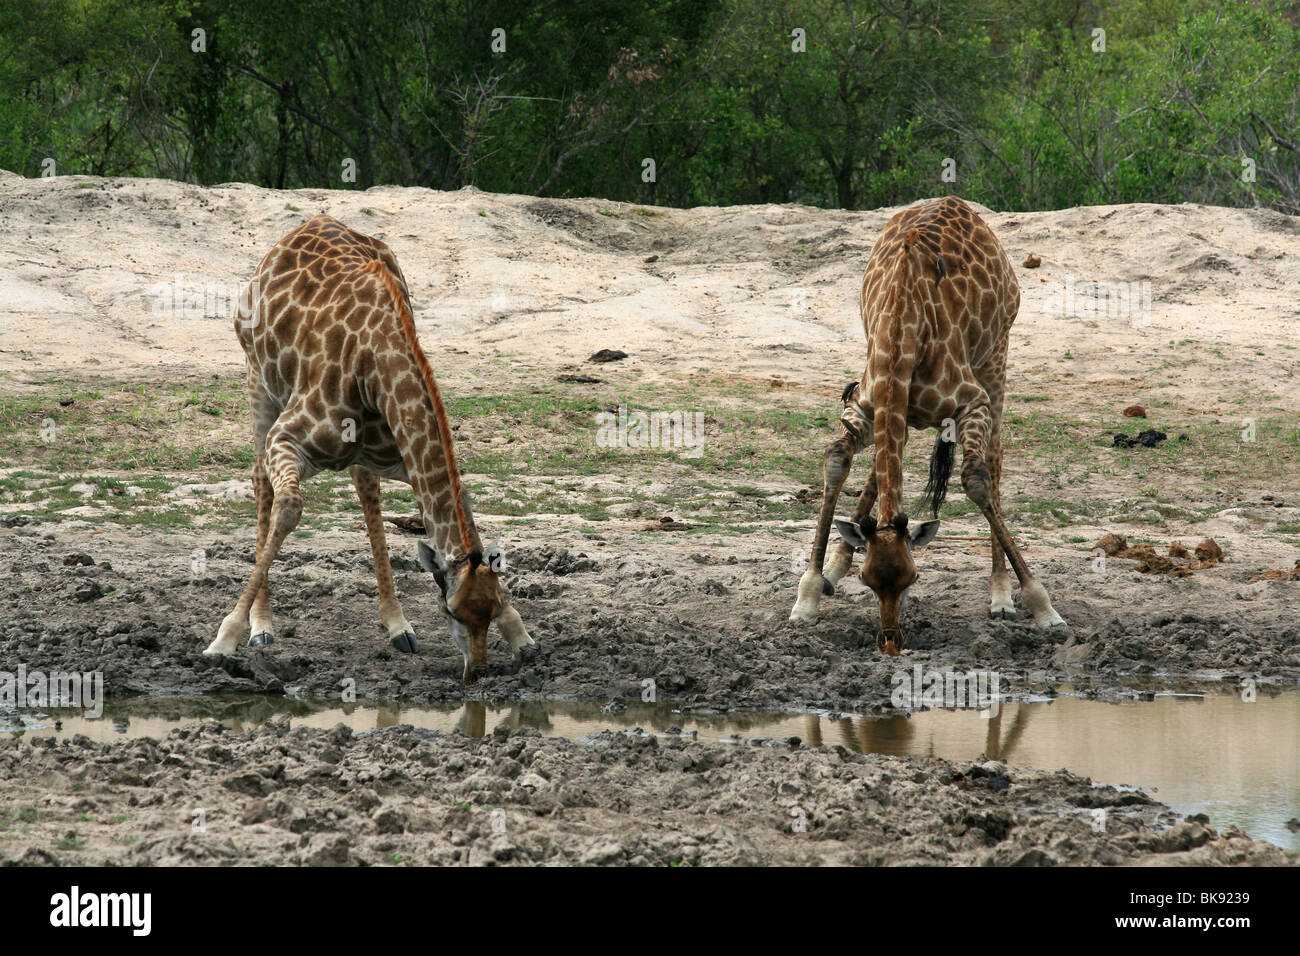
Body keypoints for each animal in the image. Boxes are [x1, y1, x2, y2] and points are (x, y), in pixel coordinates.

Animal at [202, 214, 534, 684]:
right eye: (451, 612)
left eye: (489, 611)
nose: (476, 672)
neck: (375, 367)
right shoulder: (287, 438)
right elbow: (289, 507)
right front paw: (224, 638)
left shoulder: (400, 454)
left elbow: (461, 505)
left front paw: (522, 637)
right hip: (258, 379)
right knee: (261, 480)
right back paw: (261, 627)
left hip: (357, 449)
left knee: (363, 486)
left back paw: (397, 625)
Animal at [789, 195, 1065, 653]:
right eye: (868, 581)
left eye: (913, 578)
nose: (890, 643)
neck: (902, 327)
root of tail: (962, 206)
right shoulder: (867, 405)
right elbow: (837, 457)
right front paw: (809, 592)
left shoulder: (972, 403)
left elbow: (976, 479)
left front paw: (1044, 607)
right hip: (906, 411)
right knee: (884, 466)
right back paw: (835, 565)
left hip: (996, 356)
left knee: (994, 458)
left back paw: (1001, 596)